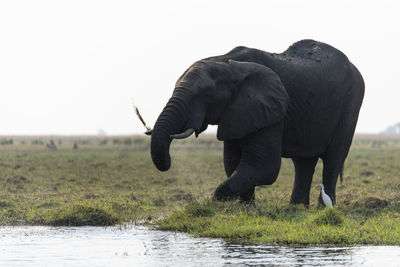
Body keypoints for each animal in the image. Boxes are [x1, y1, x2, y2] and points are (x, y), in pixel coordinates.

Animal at [148, 39, 364, 207]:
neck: (226, 61)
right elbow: (232, 162)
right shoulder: (237, 113)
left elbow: (263, 165)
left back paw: (323, 208)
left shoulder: (272, 110)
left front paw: (218, 204)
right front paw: (247, 208)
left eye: (206, 95)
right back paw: (296, 208)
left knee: (333, 158)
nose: (168, 161)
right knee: (304, 162)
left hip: (351, 103)